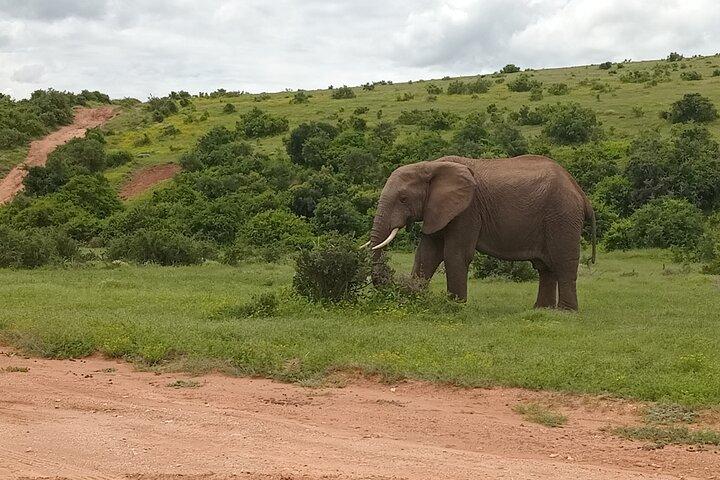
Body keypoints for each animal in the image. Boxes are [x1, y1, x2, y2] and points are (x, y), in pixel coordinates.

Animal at [366, 155, 596, 311]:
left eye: (403, 199)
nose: (389, 284)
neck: (430, 165)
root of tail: (580, 192)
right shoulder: (437, 209)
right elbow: (426, 254)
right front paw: (414, 298)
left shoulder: (468, 210)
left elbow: (455, 254)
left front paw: (455, 306)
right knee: (545, 267)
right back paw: (542, 310)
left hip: (562, 216)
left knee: (563, 262)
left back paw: (565, 312)